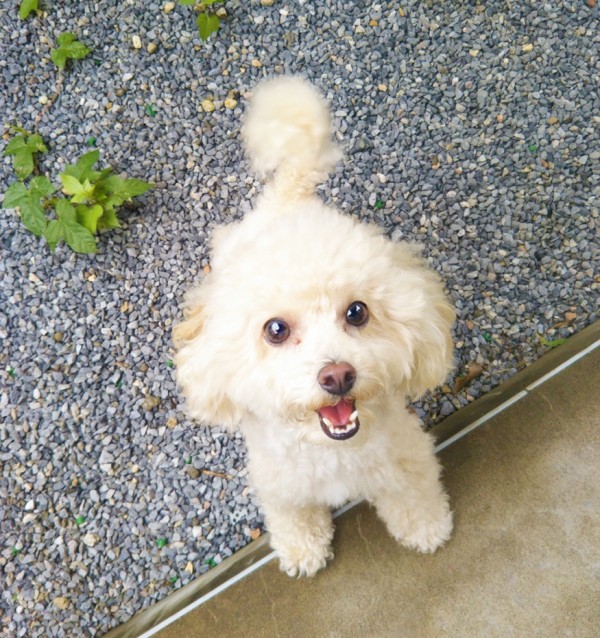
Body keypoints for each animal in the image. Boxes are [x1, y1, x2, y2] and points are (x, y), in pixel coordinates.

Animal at [174, 76, 455, 577]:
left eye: (357, 312)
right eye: (276, 330)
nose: (337, 375)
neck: (334, 452)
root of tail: (288, 199)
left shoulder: (405, 456)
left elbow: (413, 492)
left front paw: (427, 527)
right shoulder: (279, 482)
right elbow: (293, 513)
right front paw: (302, 549)